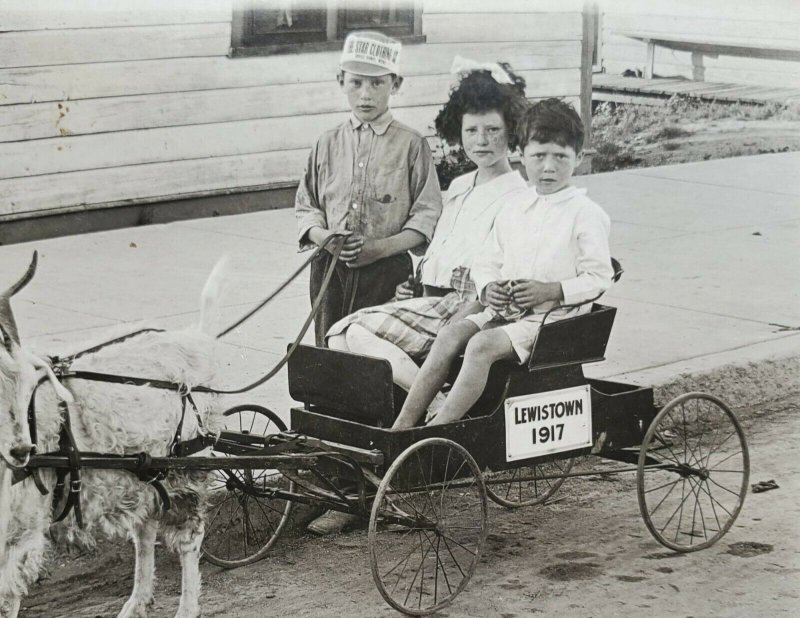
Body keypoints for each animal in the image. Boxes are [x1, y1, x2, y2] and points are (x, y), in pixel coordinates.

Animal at [0, 251, 230, 616]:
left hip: (185, 466)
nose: (21, 451)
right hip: (143, 472)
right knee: (145, 528)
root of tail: (197, 340)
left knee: (188, 538)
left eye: (25, 385)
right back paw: (136, 603)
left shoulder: (22, 532)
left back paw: (186, 607)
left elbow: (6, 597)